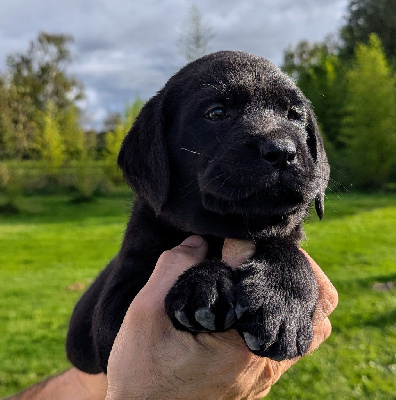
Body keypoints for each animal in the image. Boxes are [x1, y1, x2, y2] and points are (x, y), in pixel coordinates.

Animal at [66, 51, 330, 374]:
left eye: (295, 115)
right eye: (216, 113)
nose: (282, 151)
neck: (222, 232)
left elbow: (288, 249)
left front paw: (282, 301)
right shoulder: (114, 316)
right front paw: (204, 283)